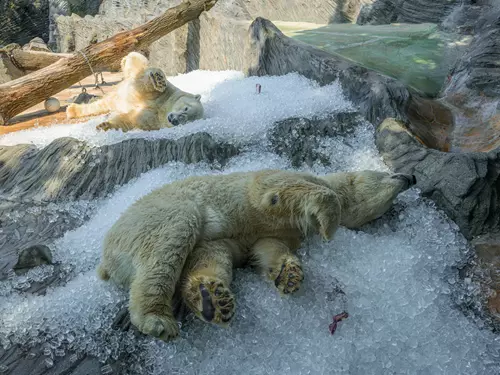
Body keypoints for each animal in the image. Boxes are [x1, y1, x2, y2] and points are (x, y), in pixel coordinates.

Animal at [66, 51, 203, 131]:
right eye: (186, 108)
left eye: (187, 121)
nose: (175, 120)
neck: (163, 109)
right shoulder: (164, 94)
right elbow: (148, 89)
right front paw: (158, 80)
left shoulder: (153, 120)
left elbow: (129, 120)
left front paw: (104, 125)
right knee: (138, 63)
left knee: (101, 105)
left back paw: (73, 110)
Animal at [96, 169, 414, 342]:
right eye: (386, 172)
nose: (411, 176)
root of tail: (106, 261)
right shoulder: (277, 181)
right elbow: (276, 191)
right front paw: (329, 222)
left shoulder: (277, 233)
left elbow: (262, 248)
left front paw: (288, 275)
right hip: (151, 216)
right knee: (174, 234)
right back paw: (158, 319)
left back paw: (214, 299)